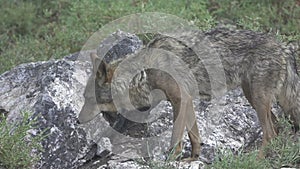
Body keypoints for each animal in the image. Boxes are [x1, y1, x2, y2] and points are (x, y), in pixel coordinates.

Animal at [78, 27, 298, 160]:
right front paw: (192, 159)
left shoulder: (180, 100)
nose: (78, 121)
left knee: (270, 133)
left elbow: (176, 137)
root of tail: (283, 47)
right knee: (278, 129)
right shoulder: (187, 101)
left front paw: (171, 160)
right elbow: (194, 136)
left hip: (258, 101)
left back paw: (255, 159)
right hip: (254, 99)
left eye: (89, 98)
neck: (144, 74)